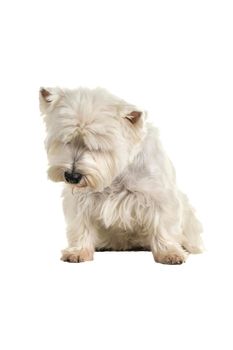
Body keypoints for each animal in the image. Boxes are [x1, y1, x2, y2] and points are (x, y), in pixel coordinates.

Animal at [39, 86, 202, 264]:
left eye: (97, 147)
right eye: (66, 141)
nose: (72, 177)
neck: (115, 175)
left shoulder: (160, 197)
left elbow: (163, 226)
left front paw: (169, 253)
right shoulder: (82, 201)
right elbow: (81, 225)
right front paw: (78, 251)